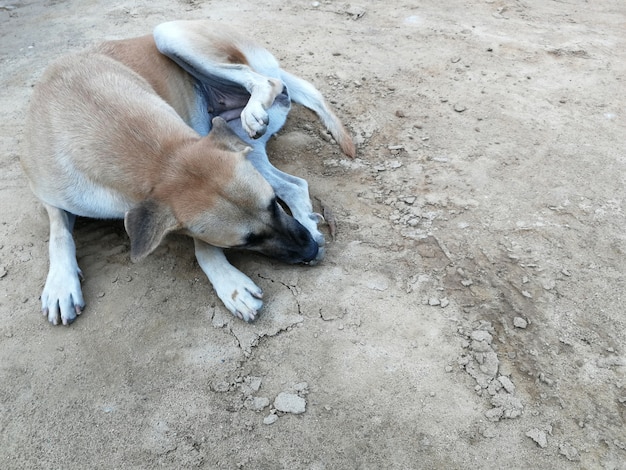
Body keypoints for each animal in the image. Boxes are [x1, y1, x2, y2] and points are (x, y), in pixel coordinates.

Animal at [22, 20, 354, 324]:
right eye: (246, 241)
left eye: (272, 206)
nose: (310, 249)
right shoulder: (50, 195)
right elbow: (59, 233)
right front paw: (61, 283)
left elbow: (202, 242)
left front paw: (228, 282)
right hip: (243, 143)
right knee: (294, 184)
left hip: (170, 33)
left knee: (265, 82)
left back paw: (256, 109)